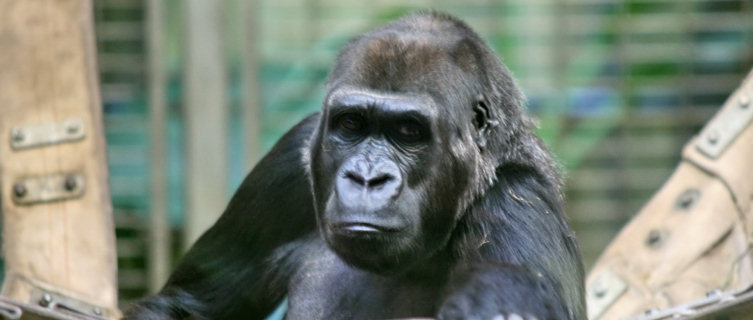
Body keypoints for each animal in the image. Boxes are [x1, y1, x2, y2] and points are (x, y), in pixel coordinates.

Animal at [123, 10, 584, 320]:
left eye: (408, 131)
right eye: (351, 124)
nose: (367, 178)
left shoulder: (517, 201)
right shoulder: (287, 165)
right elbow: (187, 307)